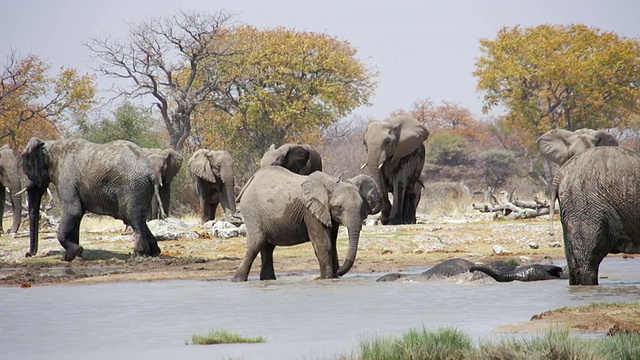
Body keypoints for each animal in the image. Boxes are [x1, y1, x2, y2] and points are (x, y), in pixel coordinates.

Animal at [21, 138, 164, 262]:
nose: (28, 254)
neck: (50, 145)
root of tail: (151, 173)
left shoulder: (65, 177)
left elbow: (73, 211)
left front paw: (71, 255)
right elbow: (77, 215)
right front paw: (74, 256)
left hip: (132, 187)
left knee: (134, 220)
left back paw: (138, 255)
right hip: (141, 189)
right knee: (138, 220)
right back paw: (154, 252)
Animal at [231, 166, 380, 282]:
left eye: (362, 207)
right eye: (339, 207)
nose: (337, 273)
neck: (331, 183)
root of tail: (251, 180)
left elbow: (332, 243)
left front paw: (332, 277)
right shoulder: (310, 211)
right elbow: (324, 243)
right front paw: (327, 278)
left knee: (267, 247)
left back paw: (268, 280)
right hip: (252, 211)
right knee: (257, 243)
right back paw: (237, 280)